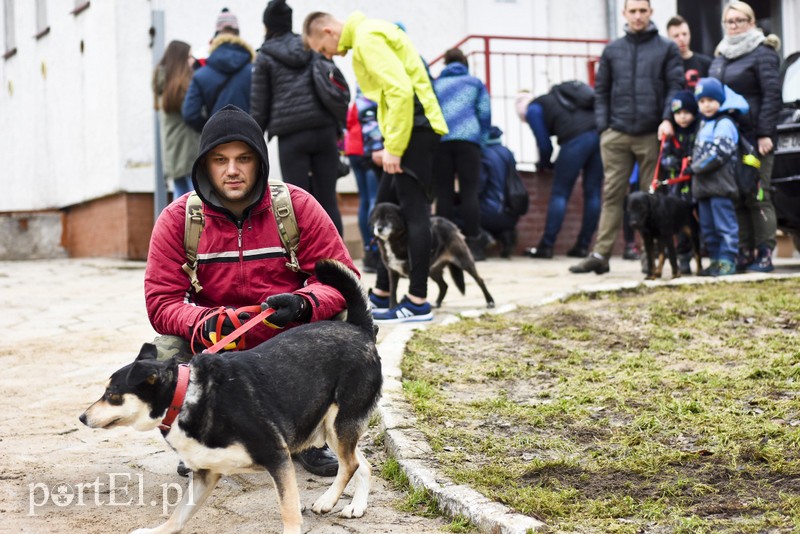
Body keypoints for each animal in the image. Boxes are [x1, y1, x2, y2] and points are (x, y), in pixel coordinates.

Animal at [79, 260, 384, 534]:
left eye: (111, 394)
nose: (82, 417)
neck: (186, 396)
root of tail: (358, 328)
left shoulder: (277, 456)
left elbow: (288, 510)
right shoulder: (205, 473)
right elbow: (179, 515)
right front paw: (157, 530)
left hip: (339, 420)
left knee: (351, 463)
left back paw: (328, 500)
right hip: (332, 426)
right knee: (362, 463)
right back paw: (355, 506)